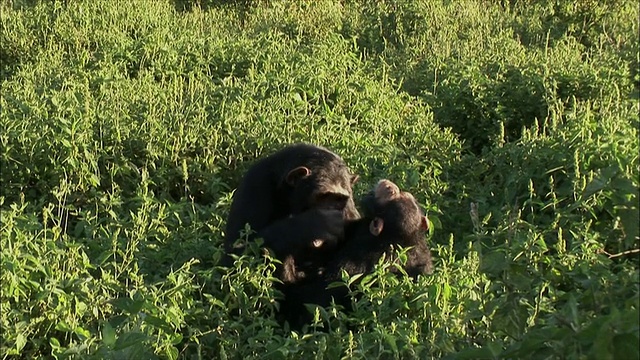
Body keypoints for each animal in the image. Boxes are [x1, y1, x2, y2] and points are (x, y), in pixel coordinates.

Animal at [222, 143, 360, 284]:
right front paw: (316, 223)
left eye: (339, 199)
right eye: (323, 197)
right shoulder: (254, 184)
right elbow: (235, 252)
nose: (331, 209)